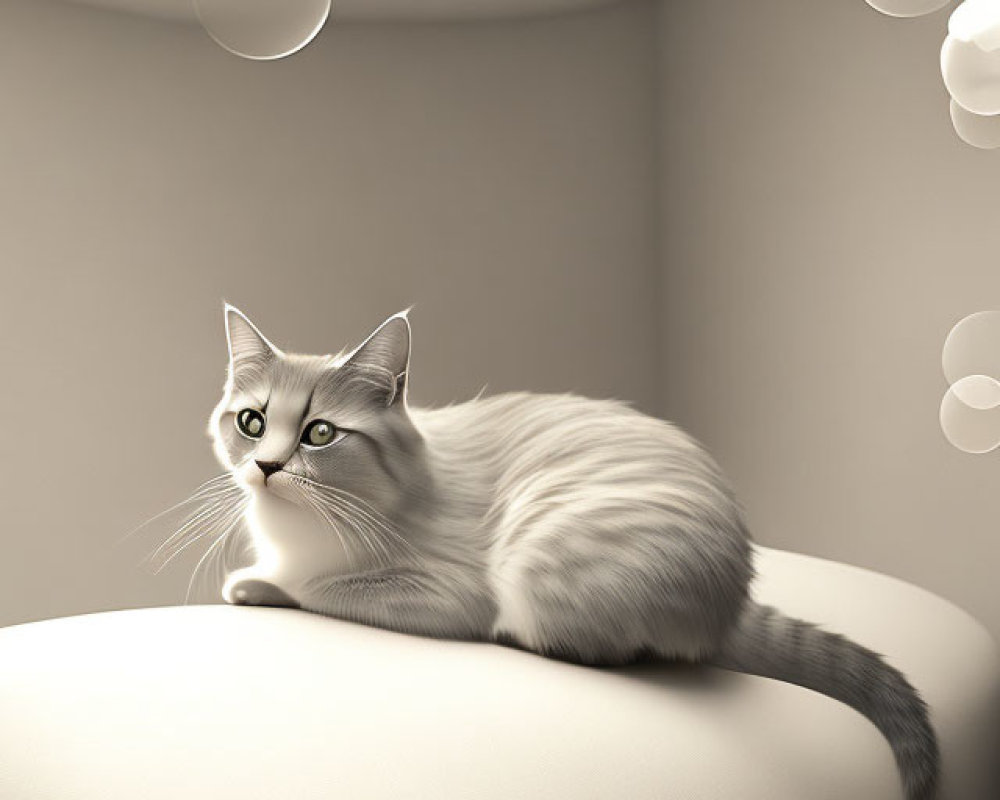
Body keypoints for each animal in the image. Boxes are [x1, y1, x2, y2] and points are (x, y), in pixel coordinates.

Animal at [207, 304, 940, 796]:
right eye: (251, 422)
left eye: (320, 433)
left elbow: (317, 587)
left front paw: (256, 584)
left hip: (540, 563)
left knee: (603, 647)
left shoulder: (442, 592)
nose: (266, 467)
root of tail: (729, 604)